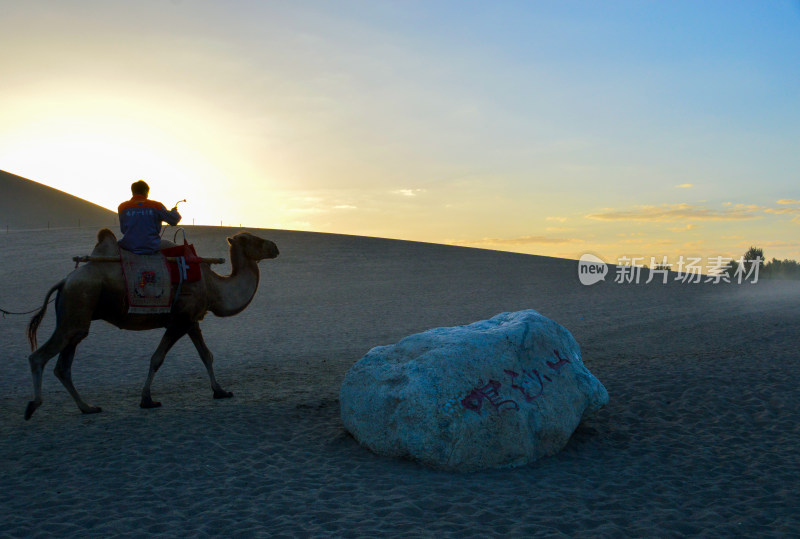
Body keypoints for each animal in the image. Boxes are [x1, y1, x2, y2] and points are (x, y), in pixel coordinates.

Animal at [24, 228, 278, 422]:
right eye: (251, 239)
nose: (275, 246)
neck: (214, 286)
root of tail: (64, 281)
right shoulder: (178, 322)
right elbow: (157, 358)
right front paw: (147, 400)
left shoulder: (191, 321)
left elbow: (207, 355)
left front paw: (221, 391)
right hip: (77, 303)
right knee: (39, 356)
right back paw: (33, 406)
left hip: (76, 317)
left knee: (63, 365)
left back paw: (87, 407)